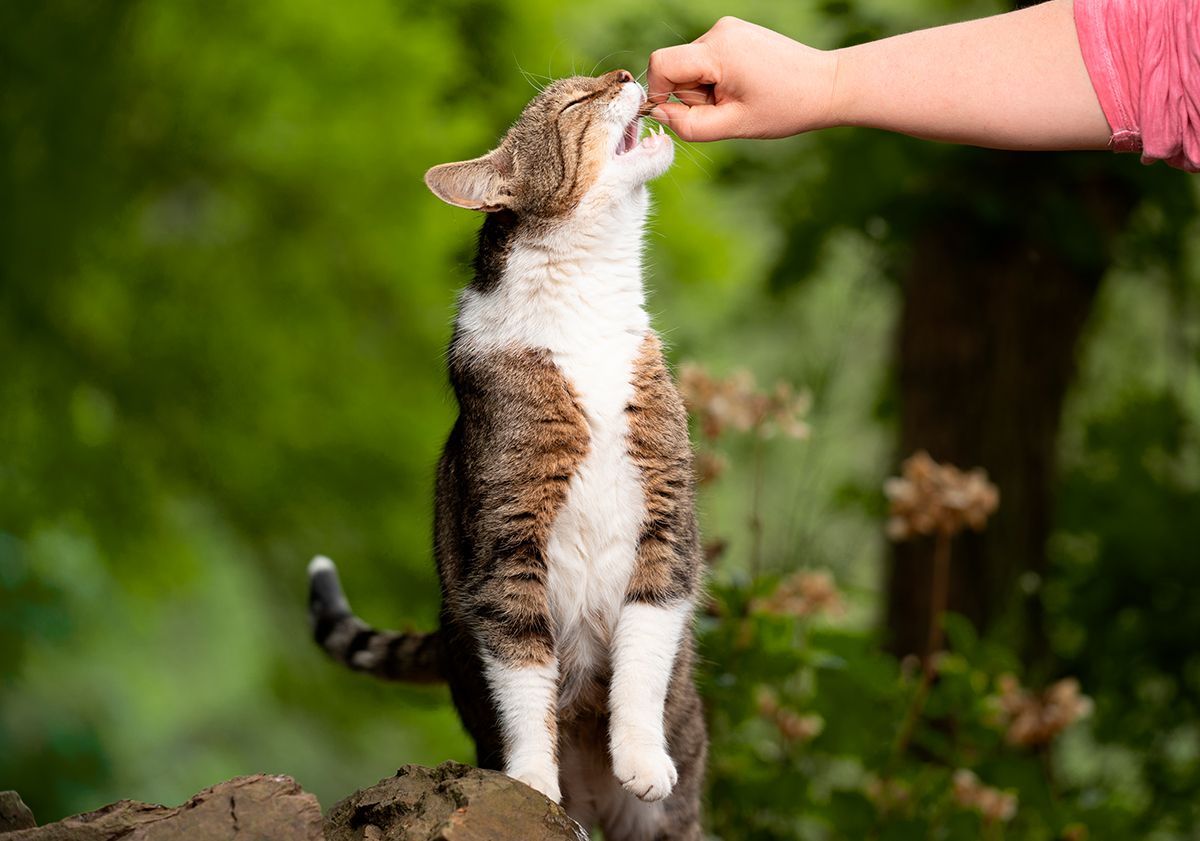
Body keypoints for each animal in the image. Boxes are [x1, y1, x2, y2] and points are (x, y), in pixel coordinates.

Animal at [304, 72, 705, 839]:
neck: (585, 310)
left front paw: (642, 755)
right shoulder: (505, 543)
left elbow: (645, 650)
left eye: (597, 80)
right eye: (575, 103)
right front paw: (531, 785)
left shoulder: (667, 520)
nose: (624, 73)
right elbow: (522, 672)